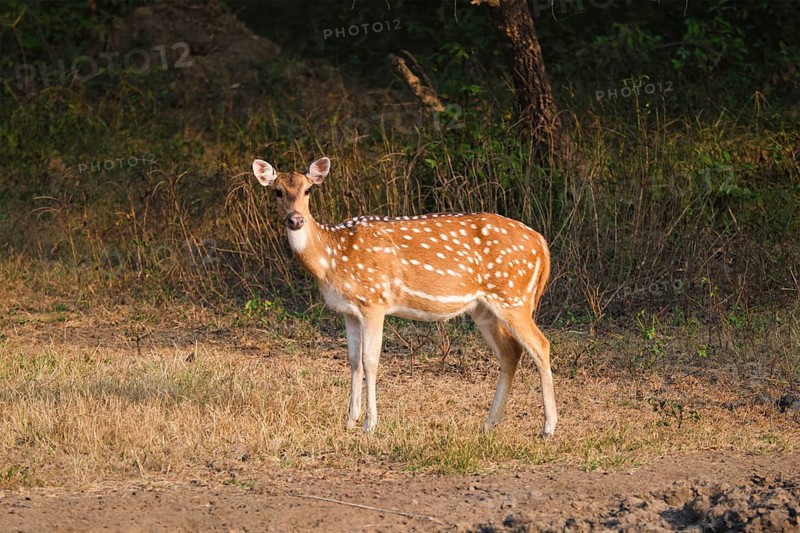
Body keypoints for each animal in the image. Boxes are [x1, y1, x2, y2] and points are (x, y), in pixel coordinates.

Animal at [252, 156, 557, 437]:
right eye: (277, 191)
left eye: (308, 190)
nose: (295, 220)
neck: (332, 258)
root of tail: (542, 244)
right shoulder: (348, 311)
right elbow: (353, 361)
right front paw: (349, 421)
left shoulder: (374, 301)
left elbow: (370, 361)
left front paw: (369, 425)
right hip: (484, 308)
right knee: (511, 352)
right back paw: (489, 424)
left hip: (513, 296)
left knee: (540, 344)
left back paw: (548, 427)